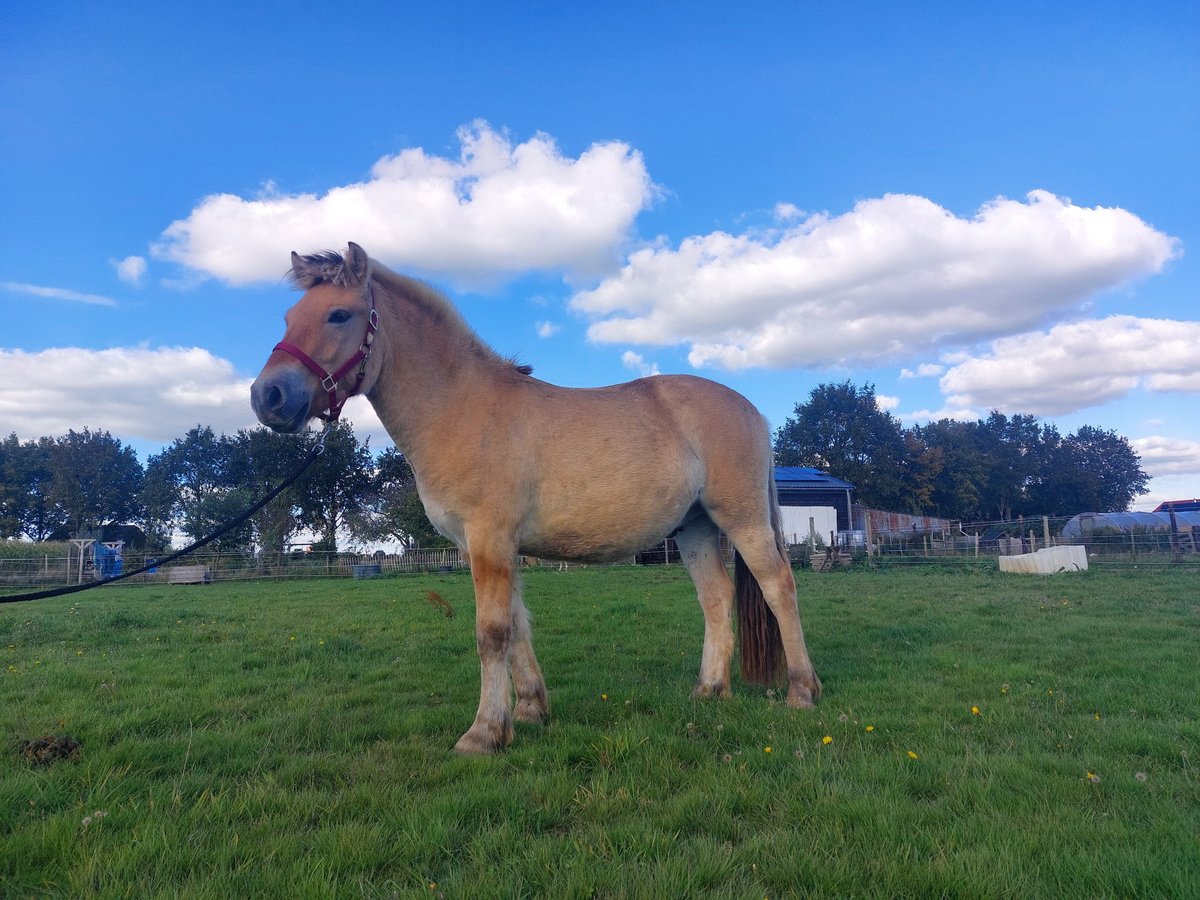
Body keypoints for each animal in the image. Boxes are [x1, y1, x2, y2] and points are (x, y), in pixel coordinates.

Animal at [248, 241, 820, 753]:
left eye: (338, 315)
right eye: (289, 316)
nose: (267, 396)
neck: (461, 409)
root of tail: (752, 410)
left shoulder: (489, 541)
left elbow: (492, 632)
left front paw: (483, 733)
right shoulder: (492, 548)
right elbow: (518, 625)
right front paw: (527, 711)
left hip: (742, 520)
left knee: (779, 587)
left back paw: (801, 692)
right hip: (695, 528)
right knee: (716, 598)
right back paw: (709, 691)